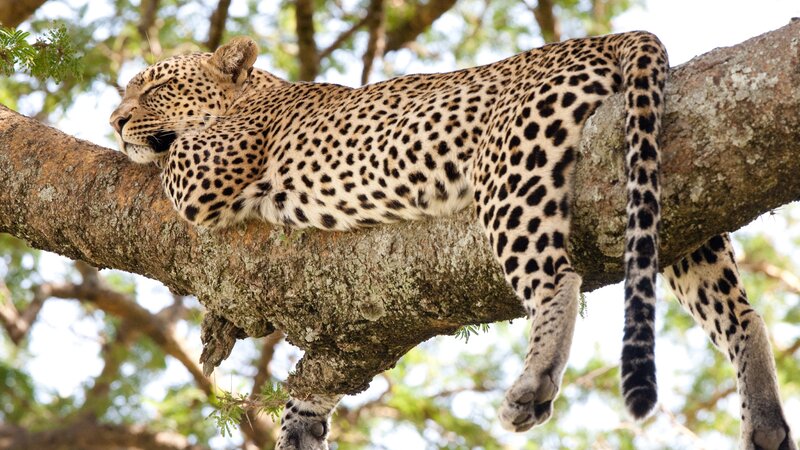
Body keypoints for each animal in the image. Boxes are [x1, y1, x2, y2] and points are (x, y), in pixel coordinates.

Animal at [111, 33, 792, 448]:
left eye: (155, 89)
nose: (113, 120)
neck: (259, 91)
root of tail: (611, 36)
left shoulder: (207, 172)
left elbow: (169, 160)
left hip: (515, 169)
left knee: (559, 279)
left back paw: (533, 385)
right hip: (673, 194)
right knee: (741, 315)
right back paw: (765, 419)